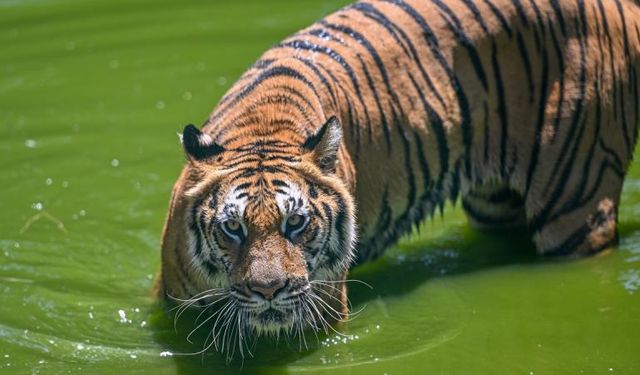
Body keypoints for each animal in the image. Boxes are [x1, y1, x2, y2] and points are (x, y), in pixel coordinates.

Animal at [156, 0, 640, 360]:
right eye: (232, 228)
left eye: (295, 223)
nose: (268, 290)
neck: (262, 129)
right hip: (496, 204)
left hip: (575, 202)